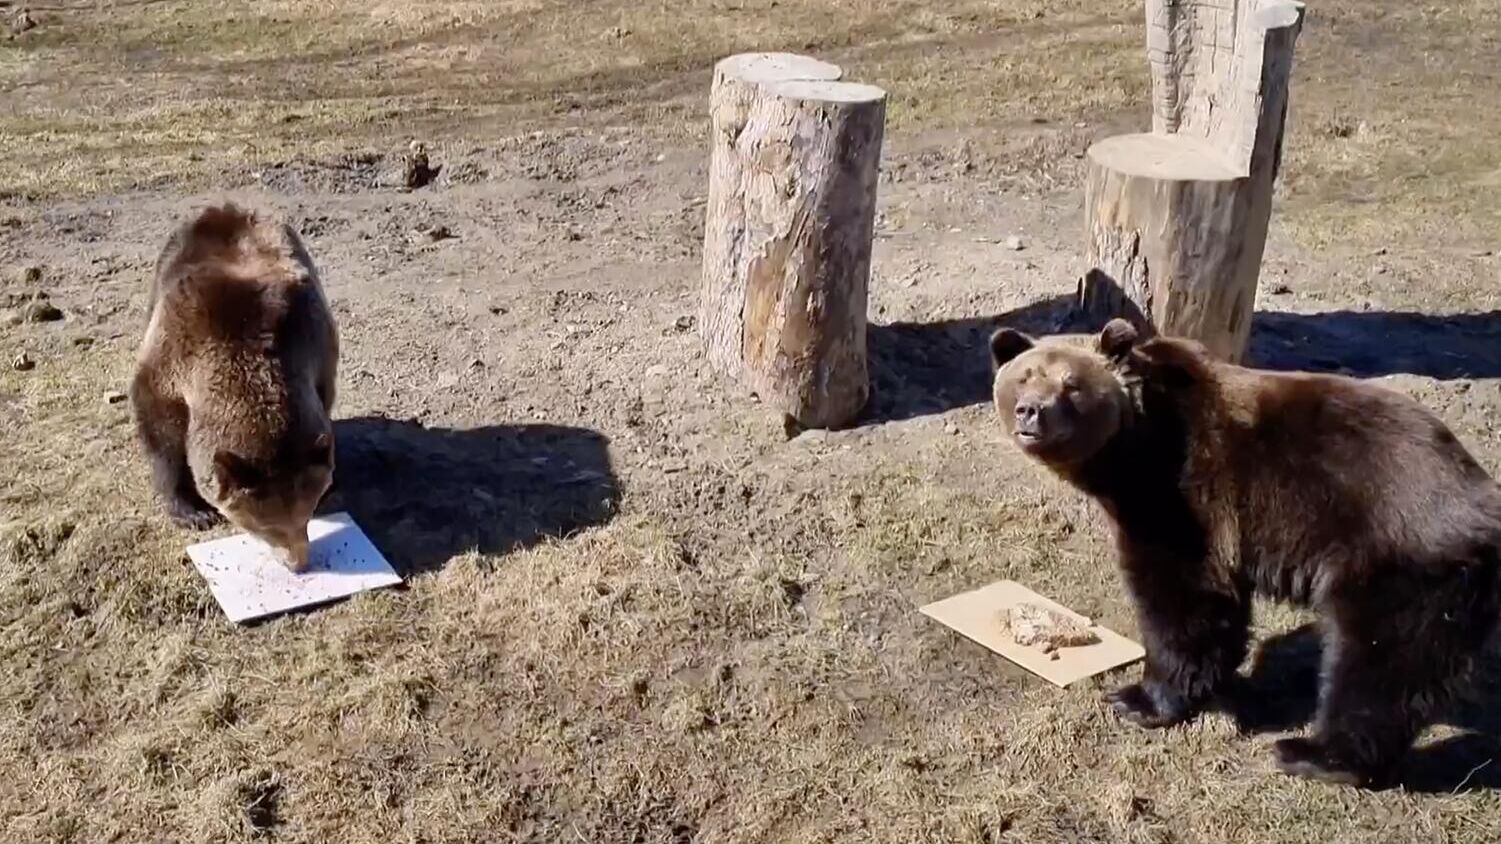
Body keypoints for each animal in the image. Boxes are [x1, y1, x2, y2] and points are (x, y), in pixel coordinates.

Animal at [130, 202, 339, 570]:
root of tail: (224, 208)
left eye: (306, 514)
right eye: (265, 527)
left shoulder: (315, 345)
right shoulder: (170, 358)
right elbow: (160, 432)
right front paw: (192, 511)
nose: (297, 563)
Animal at [990, 318, 1494, 786]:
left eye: (1071, 384)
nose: (1030, 412)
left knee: (1379, 661)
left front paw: (1139, 699)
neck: (1129, 452)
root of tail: (1479, 491)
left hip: (1399, 553)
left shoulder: (1181, 495)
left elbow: (1179, 594)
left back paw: (1314, 754)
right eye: (1024, 376)